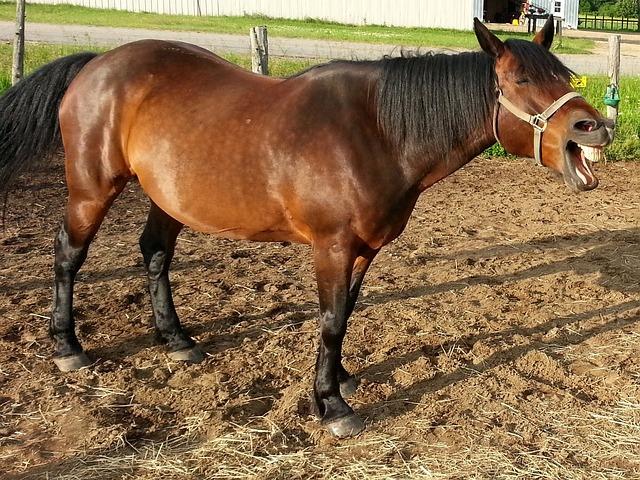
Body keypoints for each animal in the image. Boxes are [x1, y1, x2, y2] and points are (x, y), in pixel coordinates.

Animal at [0, 18, 612, 436]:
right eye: (522, 78)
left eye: (565, 74)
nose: (596, 127)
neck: (376, 131)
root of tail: (97, 63)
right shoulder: (333, 246)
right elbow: (331, 318)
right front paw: (332, 405)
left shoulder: (364, 248)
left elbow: (343, 318)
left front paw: (339, 379)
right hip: (91, 189)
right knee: (68, 255)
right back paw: (68, 346)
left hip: (165, 198)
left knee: (154, 253)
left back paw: (175, 340)